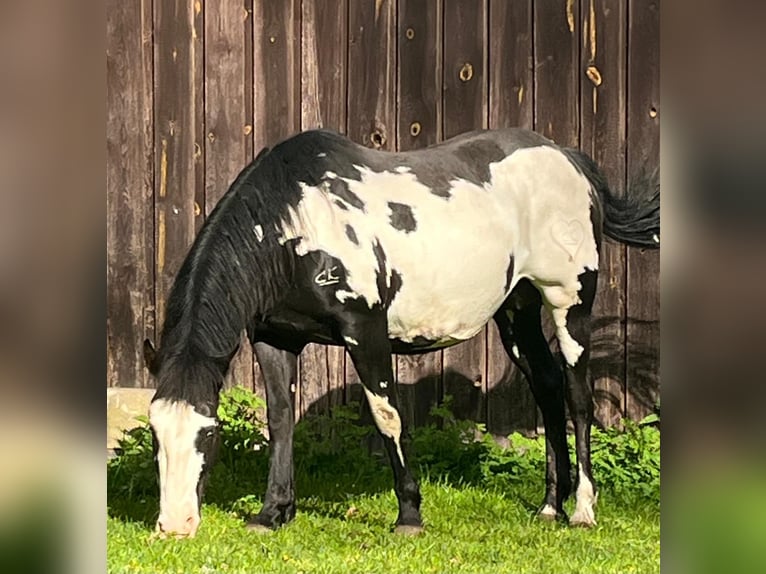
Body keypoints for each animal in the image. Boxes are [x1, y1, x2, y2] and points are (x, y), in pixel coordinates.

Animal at [141, 127, 659, 538]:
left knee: (577, 398)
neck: (301, 222)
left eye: (208, 435)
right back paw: (550, 506)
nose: (175, 526)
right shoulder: (275, 338)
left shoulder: (365, 332)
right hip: (517, 311)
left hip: (569, 302)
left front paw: (409, 515)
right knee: (548, 388)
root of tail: (567, 158)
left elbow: (387, 416)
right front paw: (273, 513)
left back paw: (583, 510)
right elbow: (280, 420)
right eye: (155, 435)